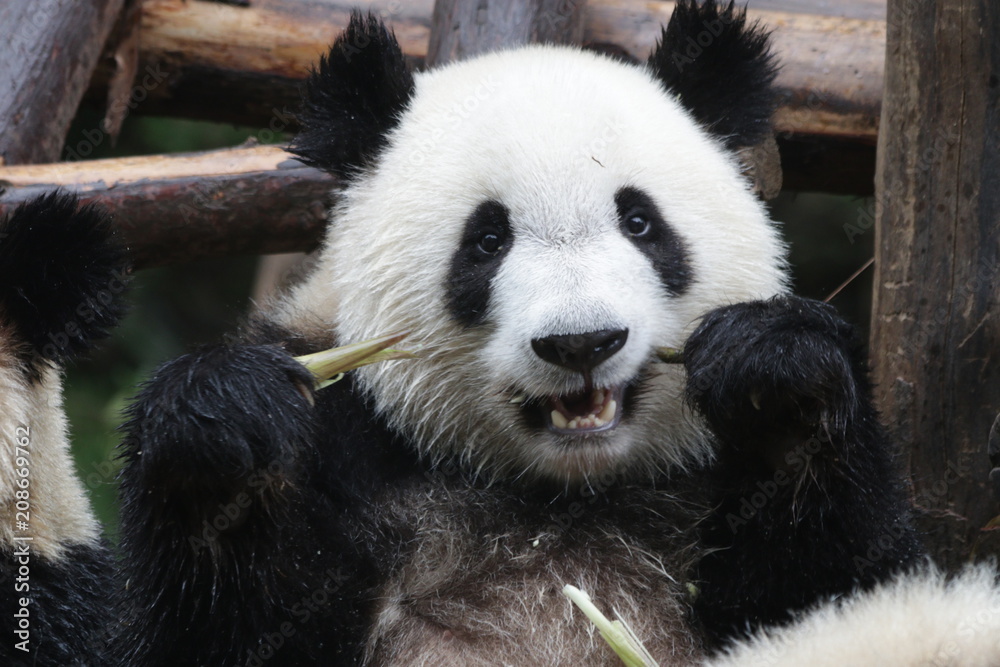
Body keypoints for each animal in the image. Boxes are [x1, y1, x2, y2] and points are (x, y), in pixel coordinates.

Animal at [111, 2, 1000, 665]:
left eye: (640, 221)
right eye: (486, 240)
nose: (581, 343)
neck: (564, 490)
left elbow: (847, 585)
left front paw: (776, 380)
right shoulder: (350, 444)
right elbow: (229, 630)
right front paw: (225, 427)